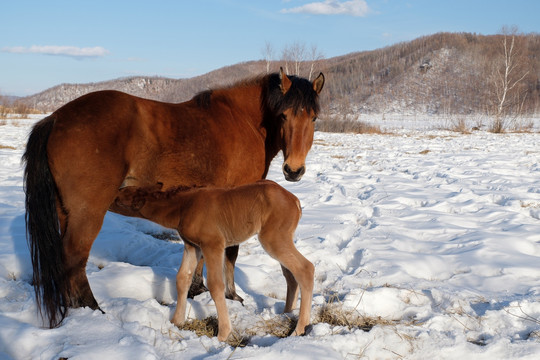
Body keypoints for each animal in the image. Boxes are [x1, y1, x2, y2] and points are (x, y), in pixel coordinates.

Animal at [116, 181, 314, 342]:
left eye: (119, 199)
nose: (112, 195)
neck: (183, 208)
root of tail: (295, 201)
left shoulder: (213, 244)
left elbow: (215, 284)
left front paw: (223, 334)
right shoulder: (192, 246)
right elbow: (182, 278)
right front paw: (176, 321)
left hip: (273, 238)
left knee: (305, 268)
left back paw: (299, 329)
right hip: (280, 239)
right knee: (290, 274)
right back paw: (287, 314)